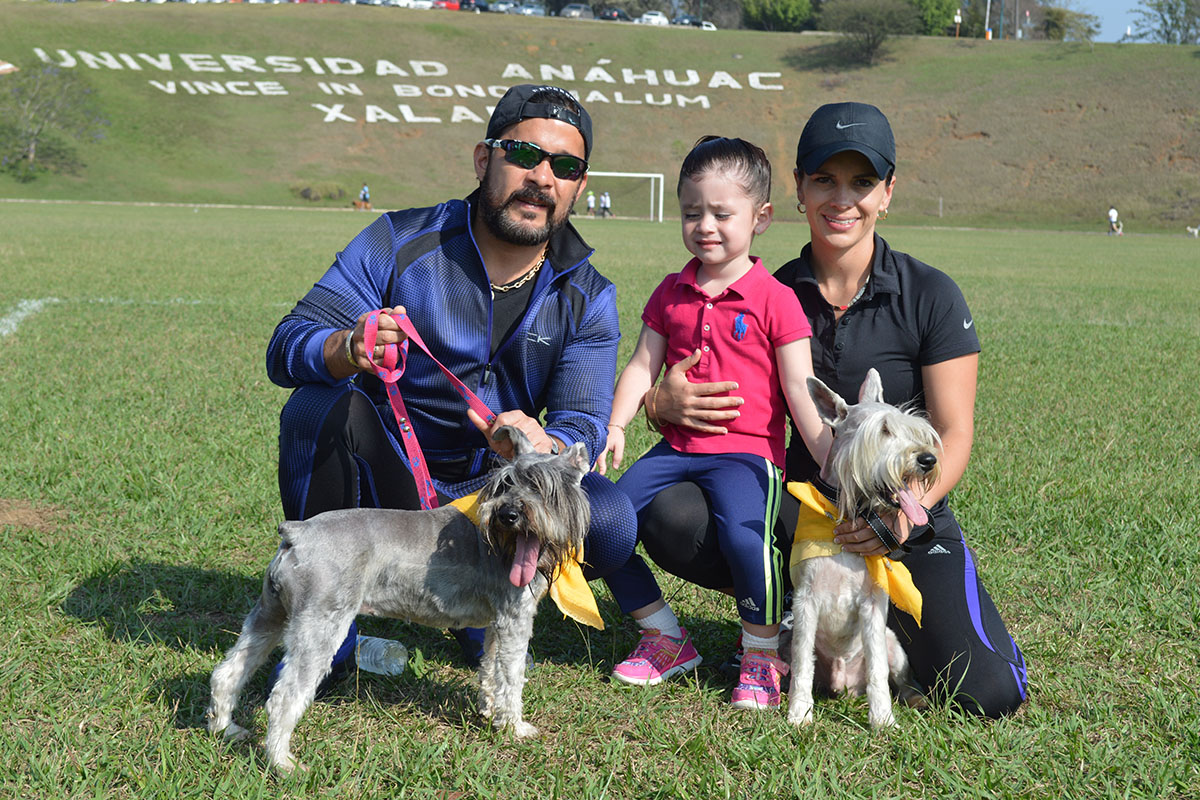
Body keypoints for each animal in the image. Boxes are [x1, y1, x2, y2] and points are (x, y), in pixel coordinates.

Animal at [206, 429, 590, 772]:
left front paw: (488, 711)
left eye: (541, 487)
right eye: (504, 484)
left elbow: (490, 670)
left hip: (270, 615)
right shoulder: (515, 620)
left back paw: (227, 730)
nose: (507, 515)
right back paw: (283, 763)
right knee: (283, 698)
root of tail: (297, 533)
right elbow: (511, 677)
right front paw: (515, 727)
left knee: (228, 672)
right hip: (319, 628)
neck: (505, 544)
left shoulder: (498, 624)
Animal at [792, 371, 940, 729]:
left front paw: (883, 720)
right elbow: (802, 662)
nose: (927, 459)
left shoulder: (873, 606)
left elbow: (877, 671)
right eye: (883, 430)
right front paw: (799, 713)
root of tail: (844, 684)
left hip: (894, 644)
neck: (847, 512)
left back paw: (917, 700)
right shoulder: (805, 602)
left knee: (900, 679)